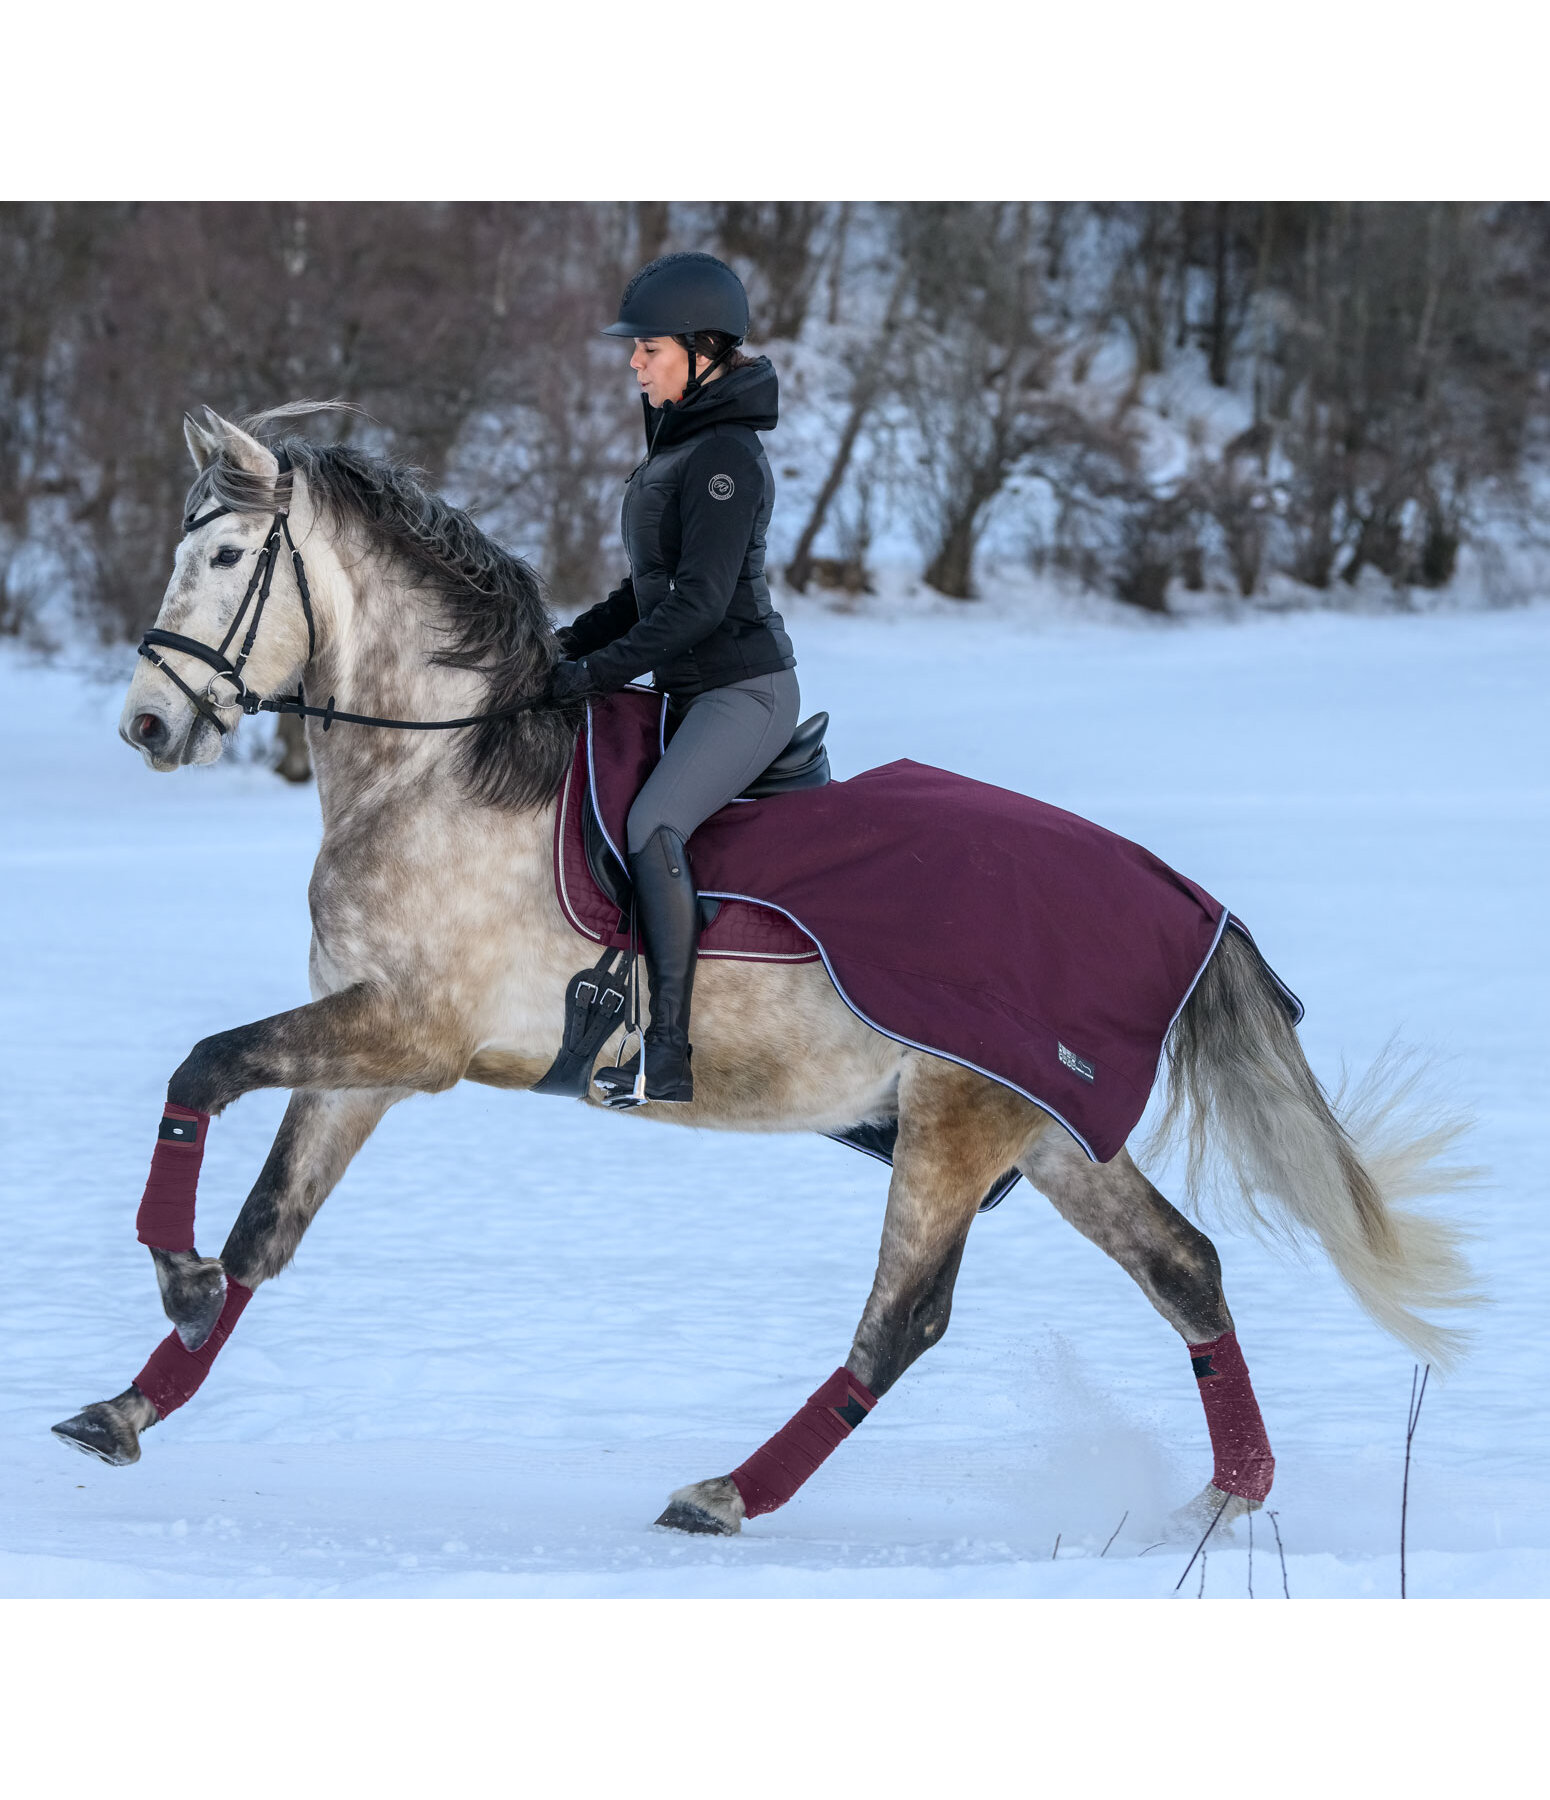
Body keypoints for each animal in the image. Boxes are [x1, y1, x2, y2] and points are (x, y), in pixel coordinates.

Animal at [51, 412, 1476, 1548]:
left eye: (223, 559)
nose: (146, 727)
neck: (443, 769)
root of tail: (1180, 897)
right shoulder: (368, 1060)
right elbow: (264, 1232)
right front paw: (135, 1399)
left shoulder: (407, 1037)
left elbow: (203, 1069)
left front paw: (172, 1281)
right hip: (1052, 1134)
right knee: (1184, 1270)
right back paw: (1222, 1502)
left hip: (957, 1127)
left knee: (901, 1326)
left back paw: (725, 1495)